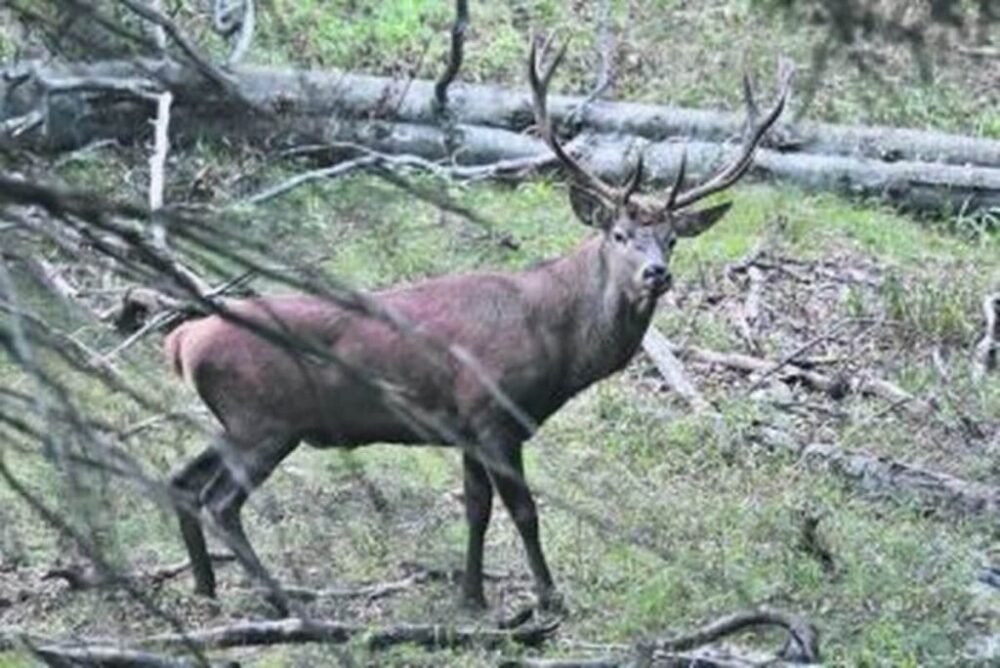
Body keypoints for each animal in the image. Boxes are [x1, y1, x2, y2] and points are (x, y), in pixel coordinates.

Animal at [162, 40, 788, 616]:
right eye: (620, 235)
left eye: (673, 238)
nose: (657, 273)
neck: (557, 341)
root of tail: (182, 340)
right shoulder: (493, 415)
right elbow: (524, 512)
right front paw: (548, 597)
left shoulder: (463, 426)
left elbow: (475, 509)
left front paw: (472, 597)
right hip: (265, 419)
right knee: (221, 502)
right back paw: (279, 600)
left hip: (240, 421)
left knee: (182, 481)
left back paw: (207, 589)